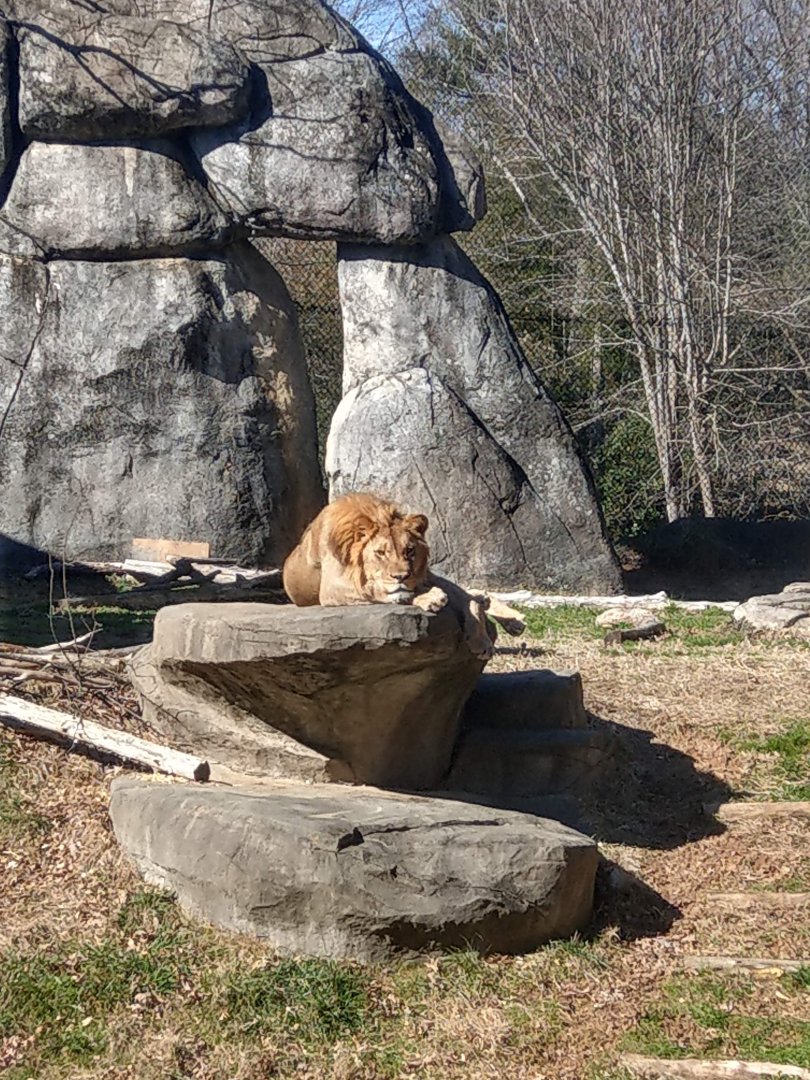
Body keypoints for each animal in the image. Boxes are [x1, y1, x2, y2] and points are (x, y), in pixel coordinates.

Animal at [282, 492, 517, 661]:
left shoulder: (424, 575)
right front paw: (429, 597)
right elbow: (375, 589)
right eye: (380, 552)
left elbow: (467, 600)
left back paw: (507, 617)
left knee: (471, 593)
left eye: (410, 550)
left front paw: (481, 640)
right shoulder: (331, 588)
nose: (402, 576)